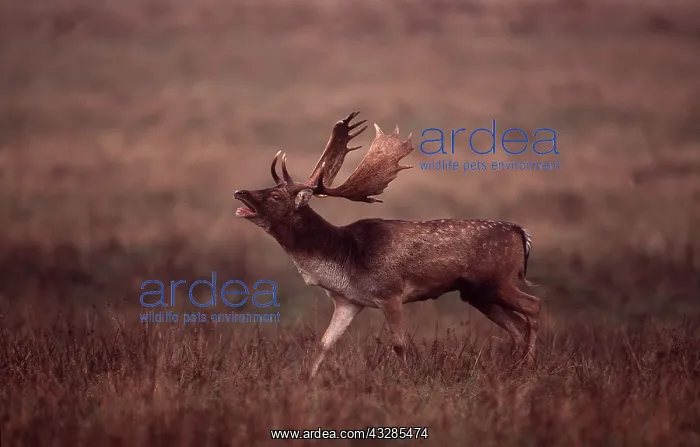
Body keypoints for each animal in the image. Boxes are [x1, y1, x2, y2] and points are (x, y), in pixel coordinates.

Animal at [233, 111, 541, 379]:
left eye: (275, 197)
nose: (239, 192)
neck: (342, 259)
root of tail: (521, 233)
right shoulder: (348, 301)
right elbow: (324, 344)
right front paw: (306, 381)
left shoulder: (390, 292)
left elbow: (399, 344)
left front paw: (407, 379)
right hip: (477, 293)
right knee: (516, 325)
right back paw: (514, 369)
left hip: (498, 280)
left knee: (534, 307)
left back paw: (528, 367)